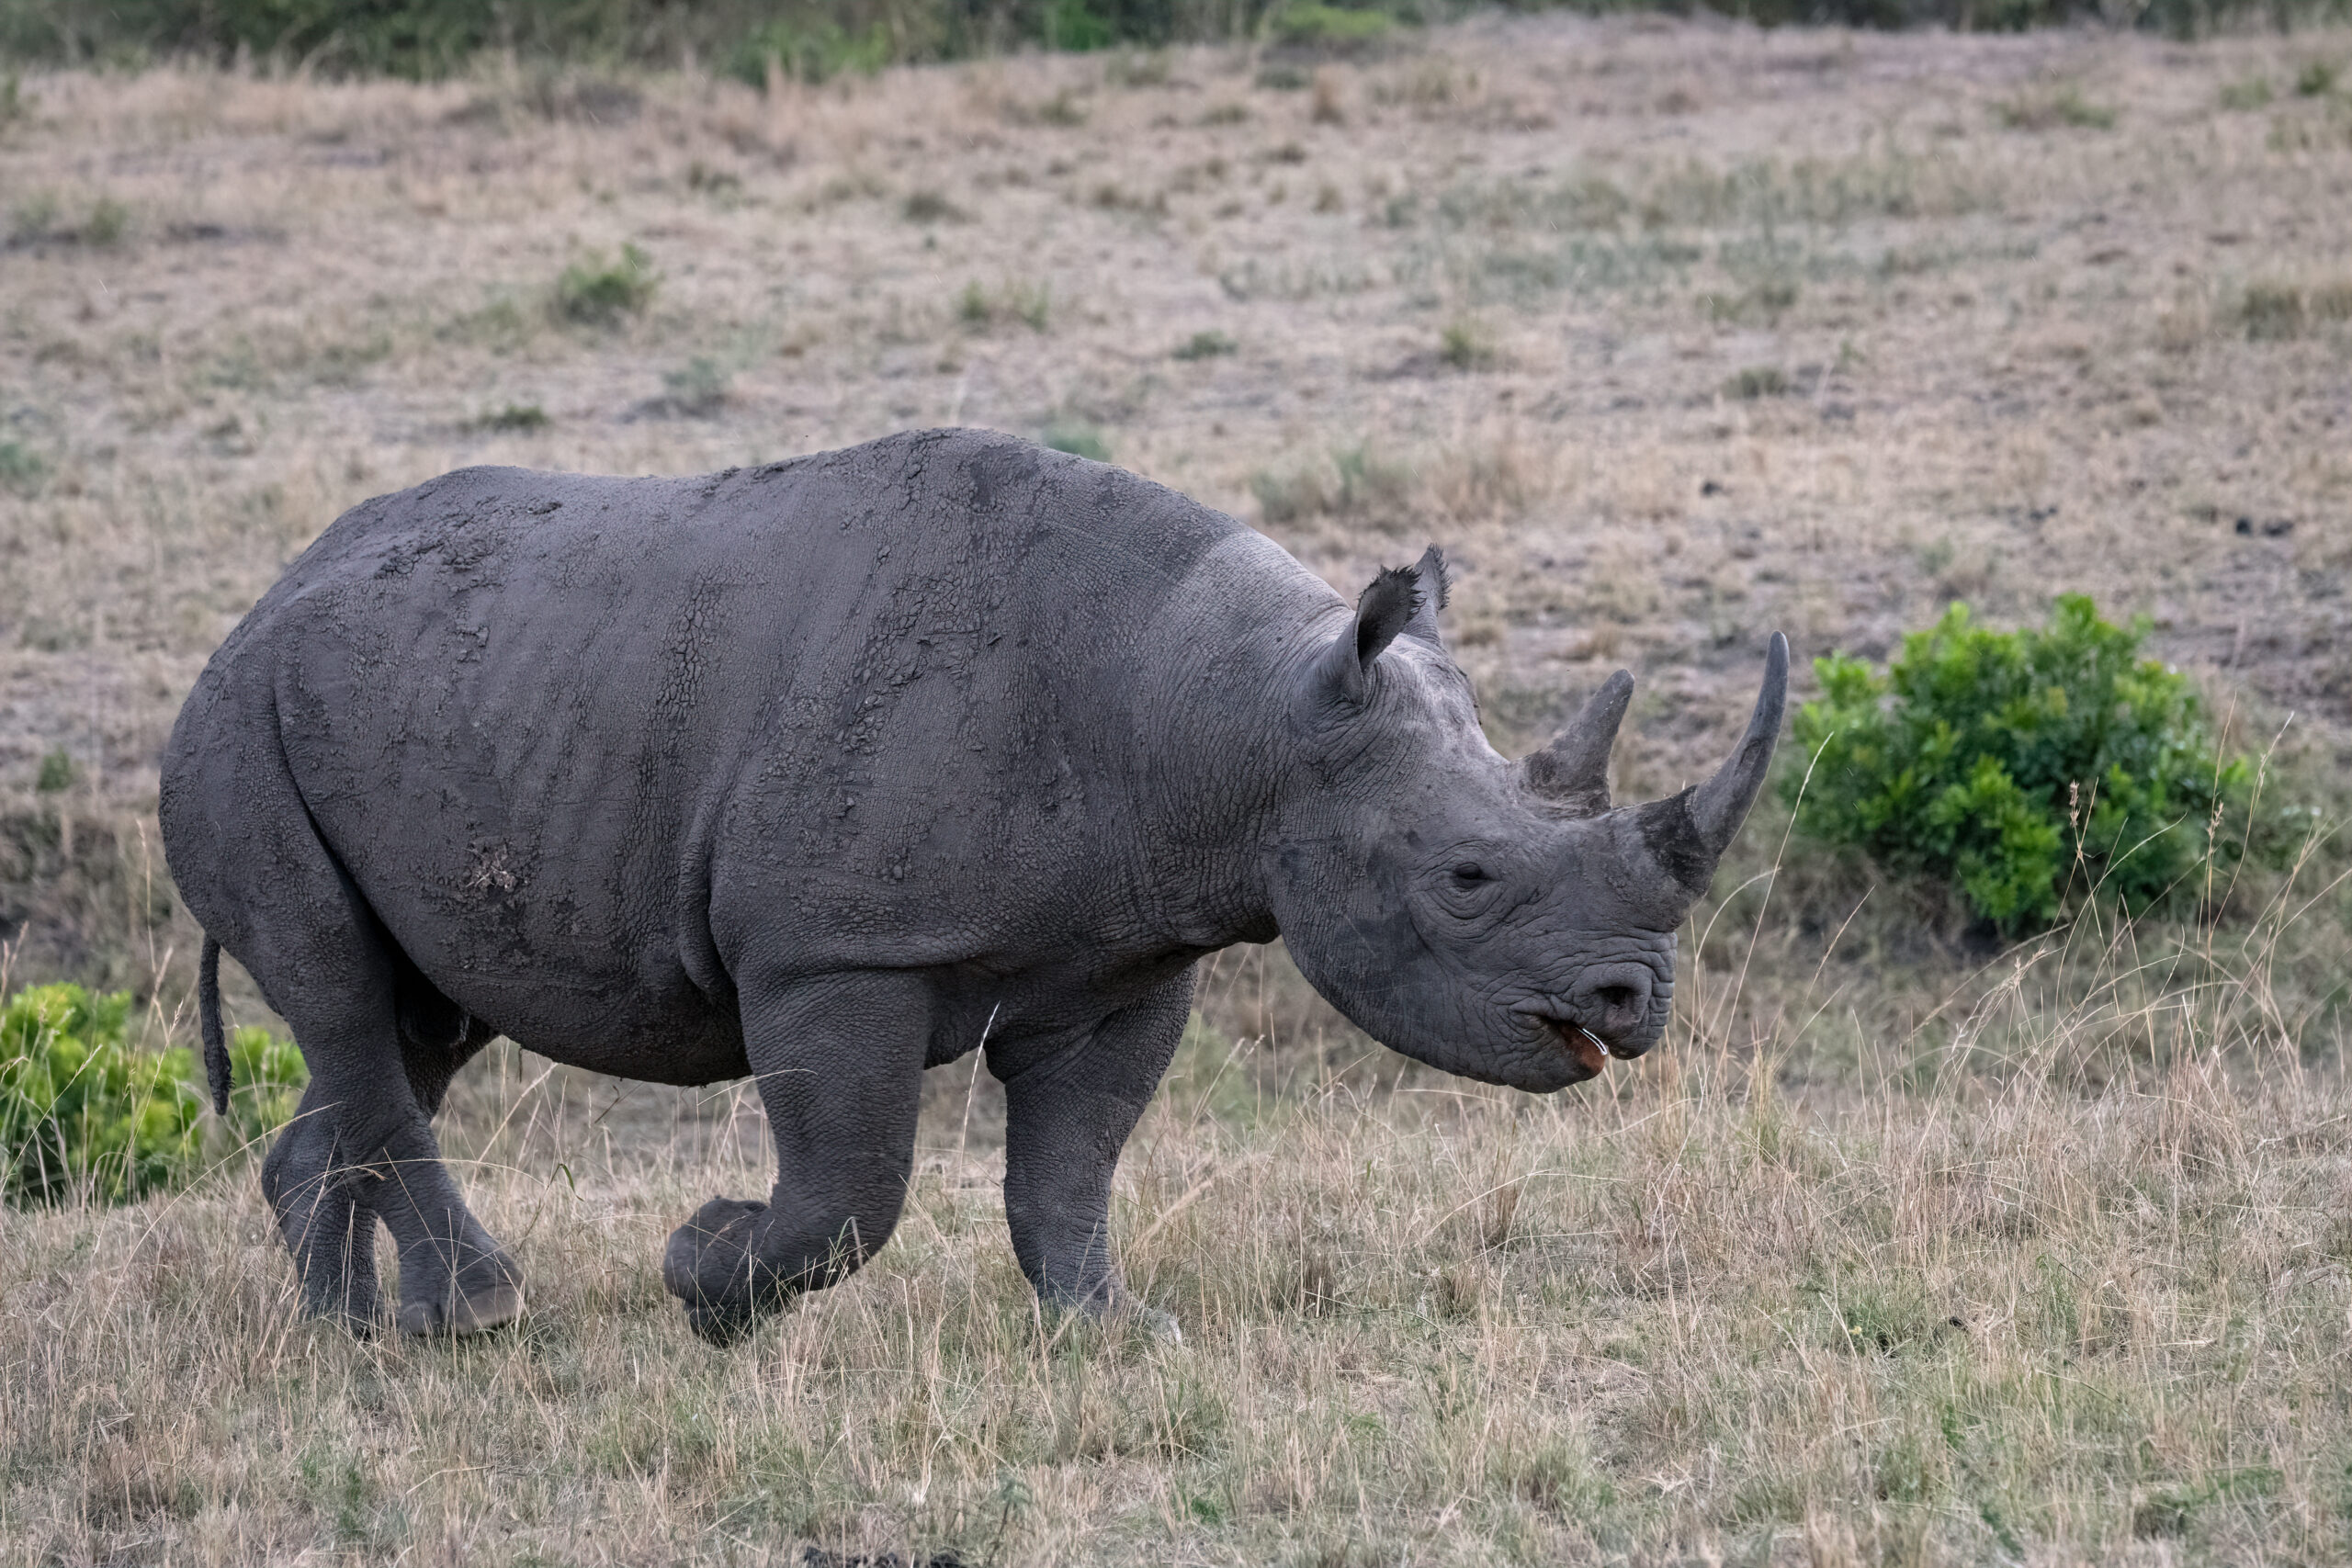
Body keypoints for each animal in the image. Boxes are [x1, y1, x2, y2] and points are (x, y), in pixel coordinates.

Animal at [162, 428, 1785, 1342]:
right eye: (1466, 873)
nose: (1635, 999)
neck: (1239, 720)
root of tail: (250, 606)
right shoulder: (834, 948)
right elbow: (852, 1188)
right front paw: (704, 1273)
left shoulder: (1135, 949)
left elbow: (1073, 1163)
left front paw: (1115, 1335)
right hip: (237, 725)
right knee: (345, 994)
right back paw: (476, 1323)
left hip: (414, 699)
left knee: (406, 1025)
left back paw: (350, 1347)